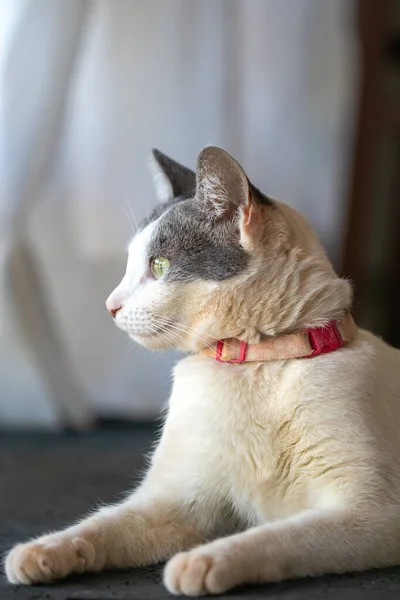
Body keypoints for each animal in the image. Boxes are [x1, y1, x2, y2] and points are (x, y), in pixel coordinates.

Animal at [4, 146, 400, 596]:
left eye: (159, 266)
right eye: (129, 265)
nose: (110, 306)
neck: (255, 364)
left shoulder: (371, 512)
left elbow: (275, 536)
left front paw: (201, 561)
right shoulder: (176, 501)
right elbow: (99, 525)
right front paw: (38, 552)